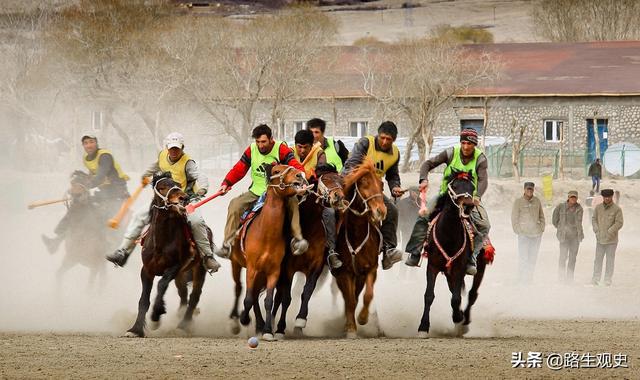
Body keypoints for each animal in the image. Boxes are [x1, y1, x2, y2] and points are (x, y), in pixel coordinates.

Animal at [124, 174, 206, 336]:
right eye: (162, 187)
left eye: (178, 185)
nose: (184, 198)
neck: (161, 243)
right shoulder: (147, 270)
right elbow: (143, 300)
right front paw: (135, 329)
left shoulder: (175, 267)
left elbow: (161, 285)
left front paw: (156, 316)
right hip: (181, 276)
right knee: (183, 294)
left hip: (198, 270)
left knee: (194, 296)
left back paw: (183, 325)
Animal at [228, 163, 308, 342]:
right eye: (277, 171)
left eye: (291, 167)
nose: (300, 176)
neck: (266, 234)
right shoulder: (251, 268)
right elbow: (248, 299)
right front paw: (244, 318)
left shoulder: (274, 271)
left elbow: (268, 301)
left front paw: (267, 331)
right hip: (236, 263)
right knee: (239, 288)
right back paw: (237, 321)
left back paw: (259, 326)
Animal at [272, 166, 348, 338]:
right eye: (325, 179)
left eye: (342, 182)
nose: (338, 197)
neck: (309, 226)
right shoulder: (288, 268)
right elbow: (286, 297)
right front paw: (280, 328)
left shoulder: (316, 265)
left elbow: (307, 291)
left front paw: (299, 323)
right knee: (278, 295)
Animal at [336, 160, 384, 338]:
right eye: (364, 183)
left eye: (381, 185)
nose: (381, 211)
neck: (356, 236)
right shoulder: (344, 273)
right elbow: (349, 300)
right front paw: (351, 328)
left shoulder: (370, 269)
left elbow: (367, 295)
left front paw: (362, 318)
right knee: (348, 298)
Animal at [418, 171, 488, 336]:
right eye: (455, 186)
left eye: (472, 187)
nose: (468, 205)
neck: (448, 234)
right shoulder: (433, 266)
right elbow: (429, 295)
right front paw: (423, 327)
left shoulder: (459, 268)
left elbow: (456, 298)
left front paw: (458, 318)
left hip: (480, 267)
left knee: (472, 294)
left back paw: (464, 322)